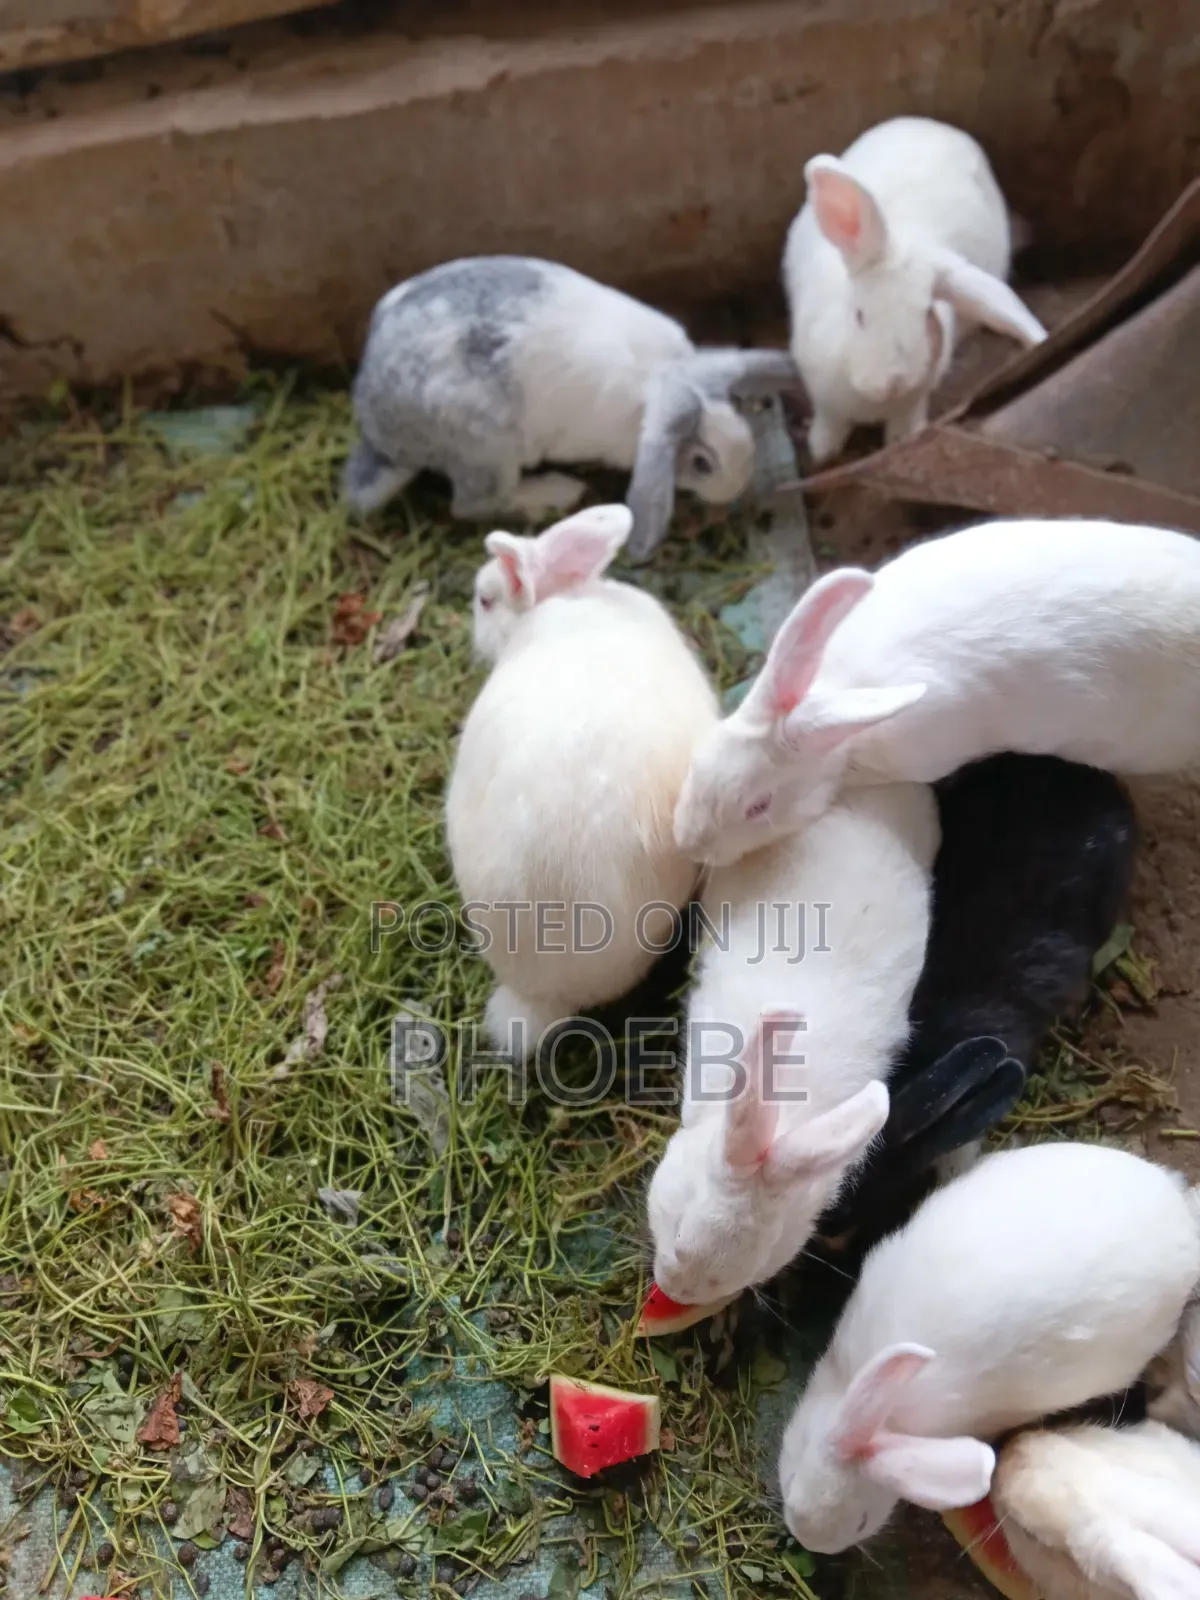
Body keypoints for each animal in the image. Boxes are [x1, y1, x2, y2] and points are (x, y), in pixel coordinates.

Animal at [343, 255, 800, 560]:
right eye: (703, 463)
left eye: (741, 421)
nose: (736, 487)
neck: (658, 378)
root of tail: (381, 435)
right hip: (486, 449)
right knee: (473, 504)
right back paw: (557, 493)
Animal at [782, 115, 1047, 463]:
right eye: (859, 315)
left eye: (926, 314)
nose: (892, 382)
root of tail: (940, 127)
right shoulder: (826, 401)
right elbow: (830, 422)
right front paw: (822, 451)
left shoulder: (913, 400)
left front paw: (900, 439)